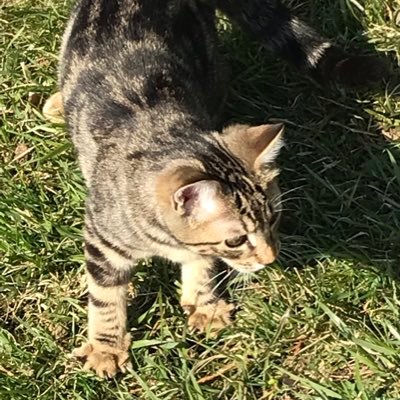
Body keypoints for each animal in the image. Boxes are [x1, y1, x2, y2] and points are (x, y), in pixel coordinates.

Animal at [45, 0, 386, 376]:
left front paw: (204, 303)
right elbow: (105, 297)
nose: (270, 258)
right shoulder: (102, 238)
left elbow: (203, 262)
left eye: (274, 219)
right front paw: (107, 347)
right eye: (236, 241)